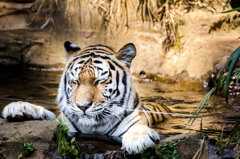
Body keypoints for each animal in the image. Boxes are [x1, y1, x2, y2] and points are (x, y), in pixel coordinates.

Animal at [1, 41, 171, 155]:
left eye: (100, 81)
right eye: (75, 81)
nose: (82, 106)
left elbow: (137, 127)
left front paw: (138, 139)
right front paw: (19, 107)